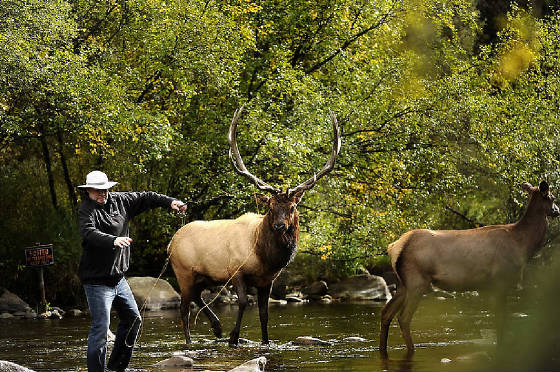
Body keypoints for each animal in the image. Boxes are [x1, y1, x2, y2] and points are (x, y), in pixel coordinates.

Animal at [167, 107, 342, 346]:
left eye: (292, 207)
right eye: (270, 207)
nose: (279, 226)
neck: (265, 257)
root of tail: (170, 243)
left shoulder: (267, 280)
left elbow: (264, 313)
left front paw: (264, 341)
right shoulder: (236, 271)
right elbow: (242, 302)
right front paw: (233, 337)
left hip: (202, 276)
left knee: (196, 296)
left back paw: (217, 327)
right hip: (183, 271)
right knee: (184, 307)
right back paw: (191, 341)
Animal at [378, 182, 556, 356]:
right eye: (552, 197)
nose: (557, 211)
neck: (523, 246)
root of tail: (393, 247)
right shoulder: (501, 280)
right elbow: (500, 320)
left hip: (403, 284)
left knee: (386, 313)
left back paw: (383, 350)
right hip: (416, 281)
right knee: (403, 317)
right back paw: (411, 350)